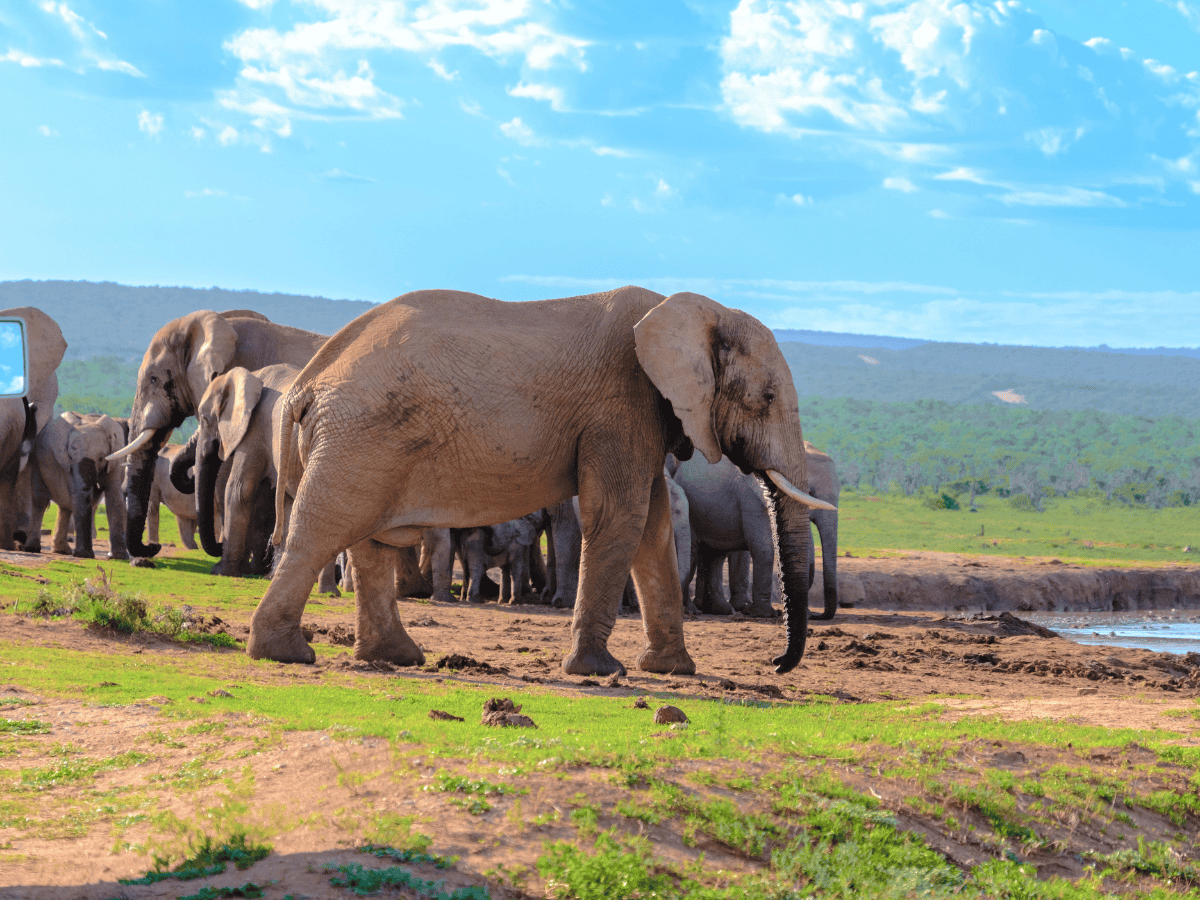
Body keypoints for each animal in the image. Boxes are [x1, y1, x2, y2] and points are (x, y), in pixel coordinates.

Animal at [27, 412, 129, 559]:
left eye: (101, 458)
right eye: (70, 456)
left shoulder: (116, 457)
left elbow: (115, 495)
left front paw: (119, 557)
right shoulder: (66, 463)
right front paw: (84, 555)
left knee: (65, 506)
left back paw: (62, 551)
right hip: (37, 461)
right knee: (41, 501)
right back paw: (33, 548)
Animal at [250, 286, 832, 676]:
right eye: (767, 398)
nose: (776, 664)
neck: (694, 309)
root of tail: (309, 378)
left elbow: (654, 528)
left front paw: (671, 670)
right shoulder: (619, 406)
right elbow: (620, 517)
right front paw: (600, 671)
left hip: (366, 441)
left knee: (370, 542)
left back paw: (397, 658)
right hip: (360, 436)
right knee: (322, 531)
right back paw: (286, 654)